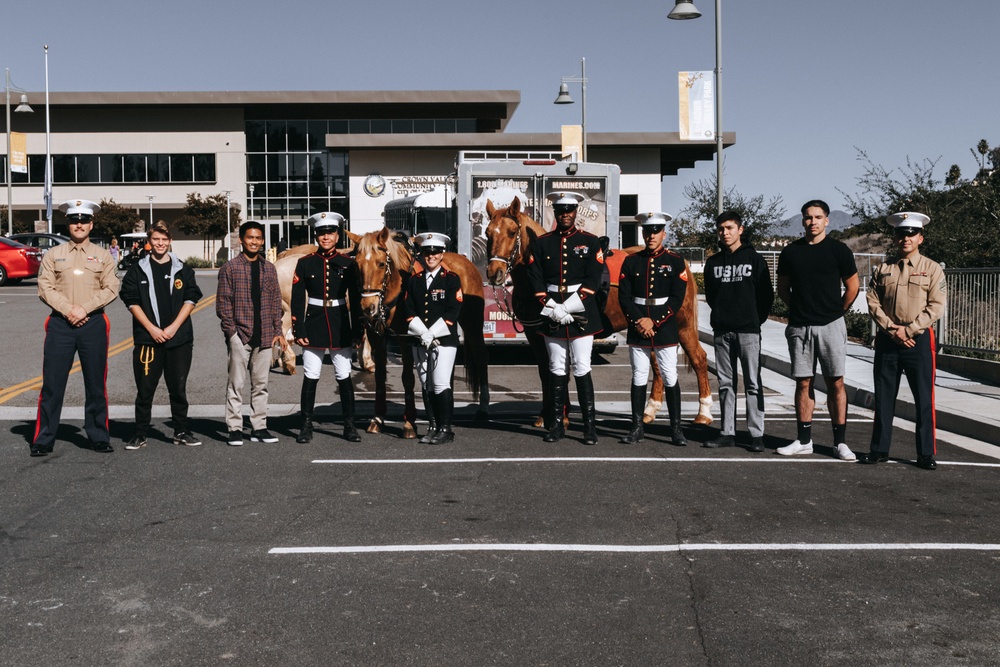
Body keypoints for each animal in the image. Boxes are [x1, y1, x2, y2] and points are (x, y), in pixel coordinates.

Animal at [356, 227, 492, 440]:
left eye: (381, 263)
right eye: (357, 264)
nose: (368, 307)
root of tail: (466, 261)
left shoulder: (405, 338)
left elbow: (407, 378)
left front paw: (409, 423)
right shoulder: (376, 336)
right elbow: (379, 377)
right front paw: (377, 418)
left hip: (472, 323)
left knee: (480, 356)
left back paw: (483, 408)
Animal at [482, 198, 712, 428]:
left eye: (512, 232)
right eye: (487, 232)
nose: (494, 273)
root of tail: (683, 265)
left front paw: (560, 416)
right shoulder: (535, 334)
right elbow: (545, 371)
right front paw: (545, 415)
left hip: (683, 327)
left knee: (699, 359)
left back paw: (703, 413)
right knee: (657, 365)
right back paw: (650, 410)